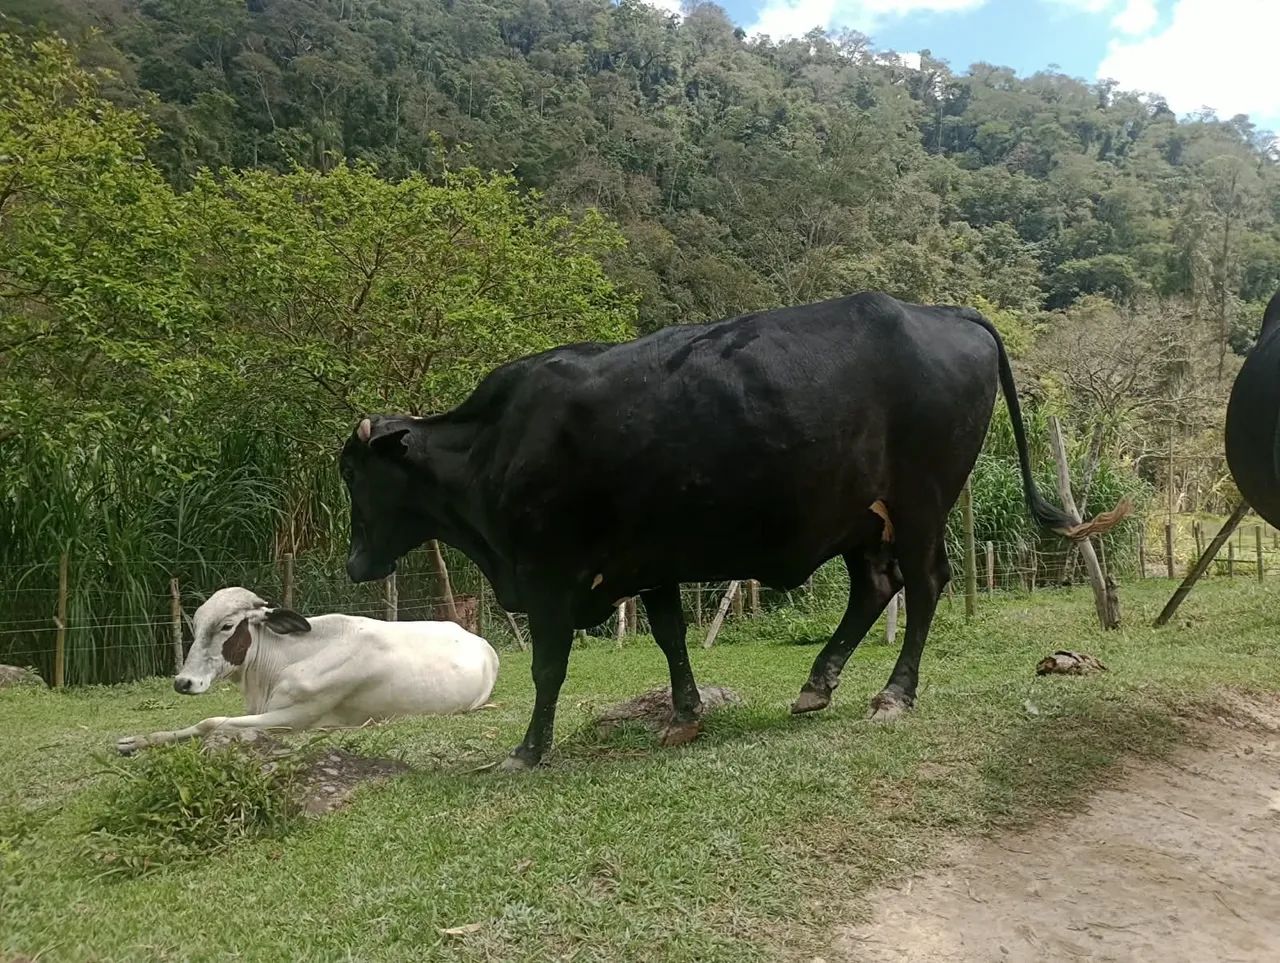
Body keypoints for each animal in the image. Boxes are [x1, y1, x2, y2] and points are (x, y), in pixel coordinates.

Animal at [115, 587, 499, 755]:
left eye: (226, 626)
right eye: (194, 626)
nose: (184, 682)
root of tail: (481, 642)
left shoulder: (296, 717)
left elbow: (211, 722)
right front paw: (137, 739)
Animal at [339, 291, 1125, 770]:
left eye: (354, 475)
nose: (350, 564)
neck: (496, 443)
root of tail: (939, 310)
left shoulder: (551, 574)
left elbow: (548, 665)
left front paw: (529, 750)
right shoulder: (644, 560)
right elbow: (669, 633)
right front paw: (685, 714)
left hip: (922, 502)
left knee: (926, 584)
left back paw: (893, 696)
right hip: (863, 520)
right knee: (876, 589)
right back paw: (816, 686)